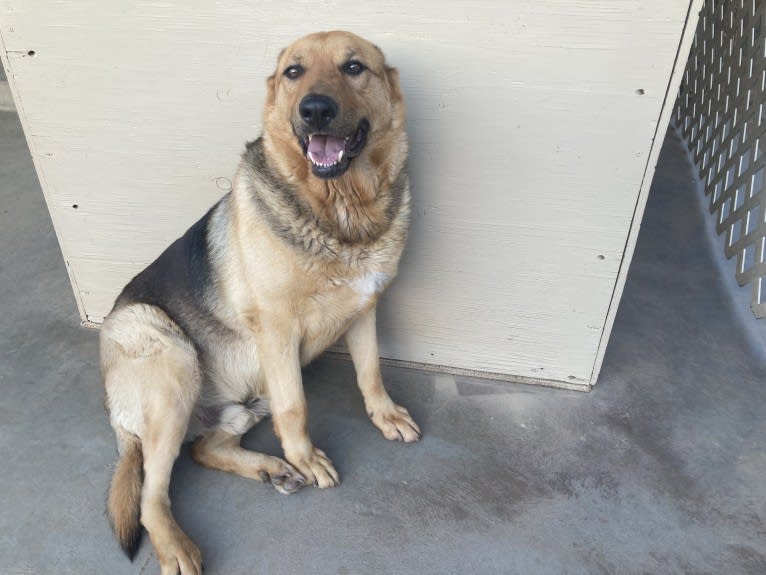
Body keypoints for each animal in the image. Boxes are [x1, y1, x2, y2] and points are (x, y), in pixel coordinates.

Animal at [101, 31, 420, 575]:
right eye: (294, 72)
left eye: (354, 67)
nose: (315, 109)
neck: (339, 211)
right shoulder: (278, 333)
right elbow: (297, 408)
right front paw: (305, 458)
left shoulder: (365, 309)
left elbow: (371, 371)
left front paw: (384, 415)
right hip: (170, 354)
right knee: (149, 495)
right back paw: (178, 544)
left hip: (245, 402)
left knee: (205, 450)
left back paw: (270, 469)